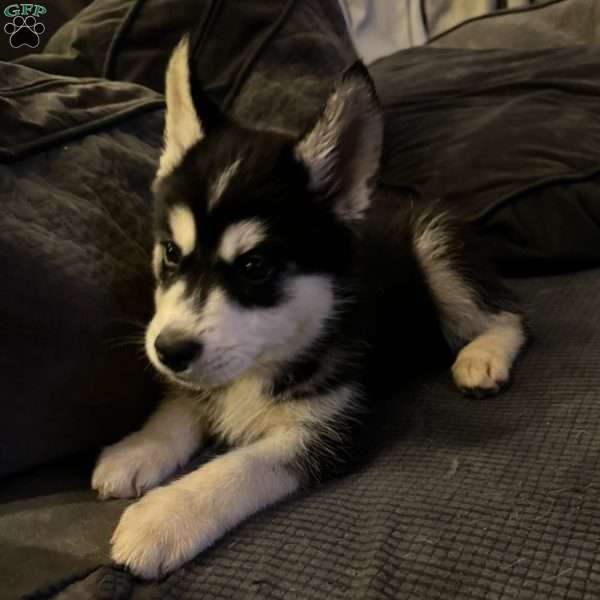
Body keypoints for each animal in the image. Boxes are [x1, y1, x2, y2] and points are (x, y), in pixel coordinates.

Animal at [91, 39, 528, 580]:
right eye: (171, 252)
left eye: (255, 266)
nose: (168, 351)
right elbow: (179, 404)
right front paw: (139, 448)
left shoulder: (337, 426)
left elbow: (243, 464)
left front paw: (166, 516)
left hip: (434, 246)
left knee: (508, 316)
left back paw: (481, 356)